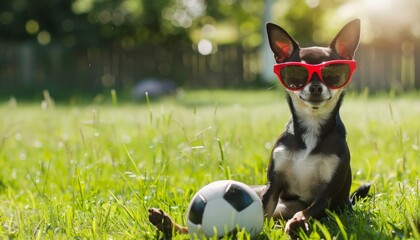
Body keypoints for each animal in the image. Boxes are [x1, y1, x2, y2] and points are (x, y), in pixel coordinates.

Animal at [148, 19, 370, 238]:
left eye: (332, 74)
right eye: (296, 74)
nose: (315, 87)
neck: (311, 128)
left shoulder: (326, 194)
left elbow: (308, 210)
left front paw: (298, 222)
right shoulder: (273, 185)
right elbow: (263, 212)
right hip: (257, 190)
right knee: (193, 228)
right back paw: (166, 223)